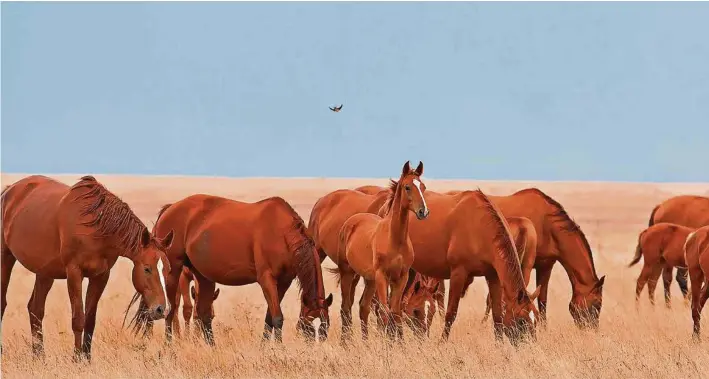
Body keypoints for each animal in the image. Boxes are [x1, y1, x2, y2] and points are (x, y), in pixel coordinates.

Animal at [1, 177, 172, 360]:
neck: (96, 228)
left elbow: (90, 319)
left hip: (45, 272)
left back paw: (39, 356)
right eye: (147, 268)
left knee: (35, 309)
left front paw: (86, 358)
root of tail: (8, 191)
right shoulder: (74, 273)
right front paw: (76, 358)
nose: (162, 309)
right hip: (5, 259)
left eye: (168, 270)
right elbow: (78, 319)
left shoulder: (101, 276)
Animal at [136, 194, 334, 346]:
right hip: (174, 271)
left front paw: (264, 348)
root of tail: (170, 209)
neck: (281, 232)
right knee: (172, 308)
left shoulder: (284, 281)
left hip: (203, 275)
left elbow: (270, 317)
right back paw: (169, 345)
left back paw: (212, 348)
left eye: (325, 328)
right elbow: (277, 317)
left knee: (203, 312)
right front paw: (279, 350)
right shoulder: (266, 279)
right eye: (308, 327)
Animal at [330, 160, 426, 342]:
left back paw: (366, 342)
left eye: (423, 187)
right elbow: (383, 311)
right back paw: (346, 343)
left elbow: (395, 312)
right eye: (407, 187)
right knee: (346, 307)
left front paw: (399, 344)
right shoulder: (383, 276)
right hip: (348, 273)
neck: (394, 240)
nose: (423, 212)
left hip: (370, 280)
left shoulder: (400, 278)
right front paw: (387, 344)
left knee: (363, 307)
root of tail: (351, 221)